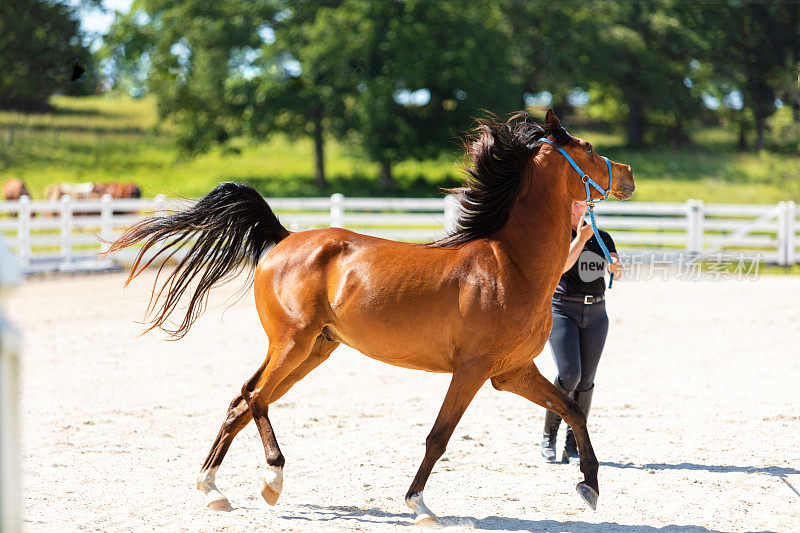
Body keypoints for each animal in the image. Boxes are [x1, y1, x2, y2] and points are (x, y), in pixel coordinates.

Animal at [106, 109, 636, 524]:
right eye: (589, 148)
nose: (629, 174)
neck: (512, 265)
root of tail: (284, 238)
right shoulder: (472, 371)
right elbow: (439, 437)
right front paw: (418, 504)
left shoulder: (511, 372)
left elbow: (571, 408)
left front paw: (589, 488)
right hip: (293, 344)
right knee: (255, 399)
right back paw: (272, 479)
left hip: (314, 350)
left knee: (242, 400)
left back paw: (213, 490)